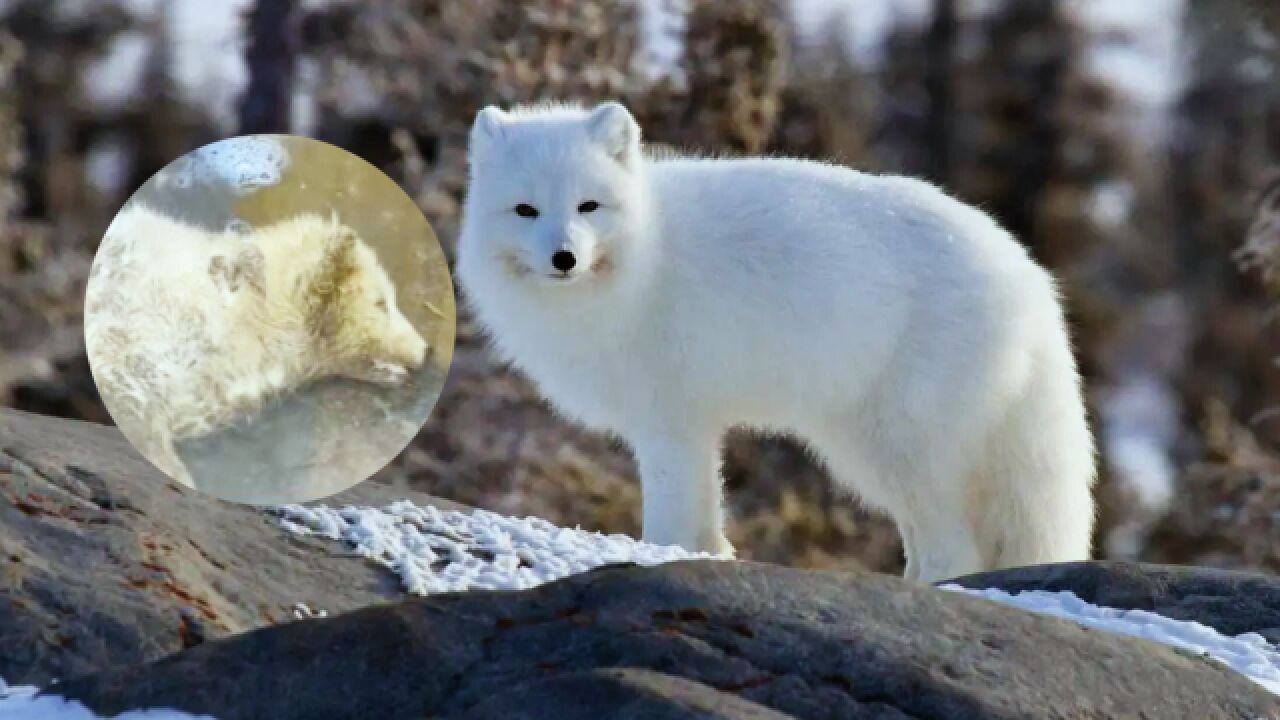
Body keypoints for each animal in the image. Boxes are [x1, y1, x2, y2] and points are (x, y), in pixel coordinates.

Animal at [455, 102, 1095, 584]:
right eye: (525, 210)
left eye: (588, 206)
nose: (564, 257)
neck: (647, 254)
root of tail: (1028, 275)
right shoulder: (689, 423)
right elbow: (705, 511)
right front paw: (706, 556)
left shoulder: (669, 418)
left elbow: (670, 510)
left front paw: (659, 556)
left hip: (898, 443)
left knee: (955, 547)